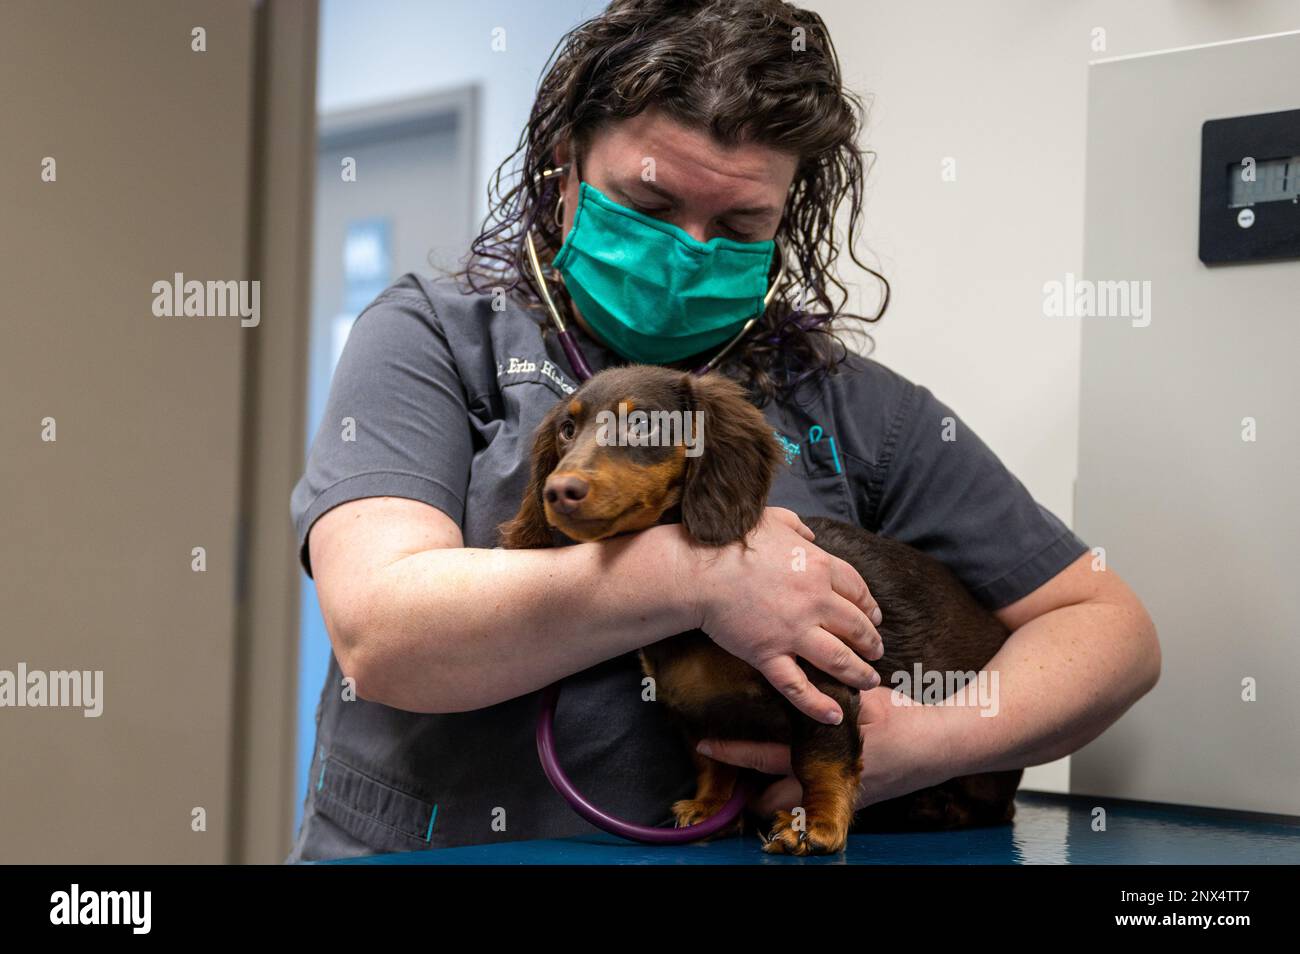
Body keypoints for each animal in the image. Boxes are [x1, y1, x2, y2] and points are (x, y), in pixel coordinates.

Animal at [501, 366, 1019, 857]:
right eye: (568, 429)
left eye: (643, 424)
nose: (558, 491)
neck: (694, 628)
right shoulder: (696, 711)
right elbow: (713, 761)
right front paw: (711, 807)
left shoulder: (823, 685)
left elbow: (818, 759)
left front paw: (817, 824)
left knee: (997, 806)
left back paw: (934, 807)